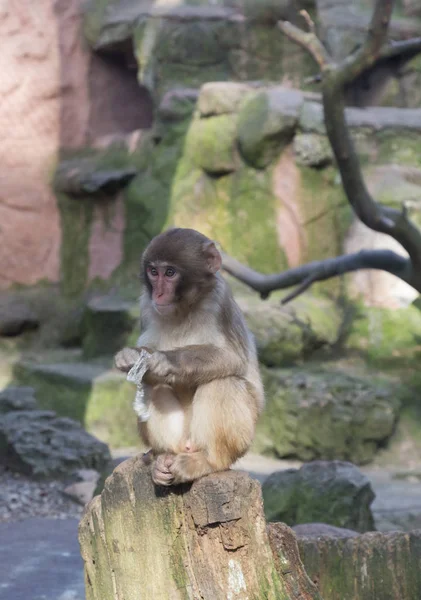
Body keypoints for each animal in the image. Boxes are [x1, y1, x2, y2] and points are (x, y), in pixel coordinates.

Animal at [115, 227, 262, 486]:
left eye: (170, 273)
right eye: (154, 272)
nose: (159, 293)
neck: (184, 308)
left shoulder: (219, 300)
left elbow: (232, 358)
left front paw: (165, 360)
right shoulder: (146, 305)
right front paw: (131, 356)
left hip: (242, 437)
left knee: (223, 382)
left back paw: (208, 462)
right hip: (181, 437)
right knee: (155, 387)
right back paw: (162, 459)